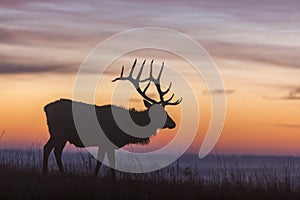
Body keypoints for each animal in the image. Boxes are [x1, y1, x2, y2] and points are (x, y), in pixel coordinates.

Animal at [43, 59, 182, 177]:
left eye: (165, 111)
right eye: (159, 113)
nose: (173, 123)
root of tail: (46, 108)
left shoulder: (105, 144)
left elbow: (104, 162)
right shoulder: (107, 142)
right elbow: (108, 163)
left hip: (59, 135)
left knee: (54, 150)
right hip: (58, 133)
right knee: (50, 148)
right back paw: (50, 172)